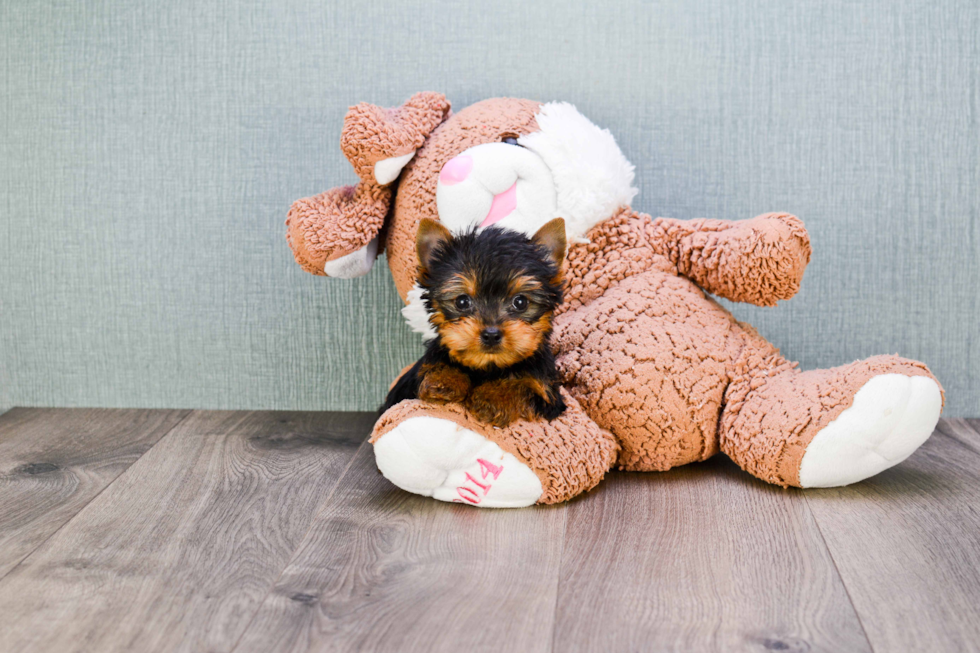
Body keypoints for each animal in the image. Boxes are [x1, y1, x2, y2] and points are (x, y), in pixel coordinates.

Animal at [382, 216, 568, 426]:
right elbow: (438, 364)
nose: (491, 334)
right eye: (462, 301)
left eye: (520, 302)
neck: (488, 366)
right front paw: (444, 380)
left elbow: (525, 386)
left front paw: (493, 397)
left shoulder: (547, 392)